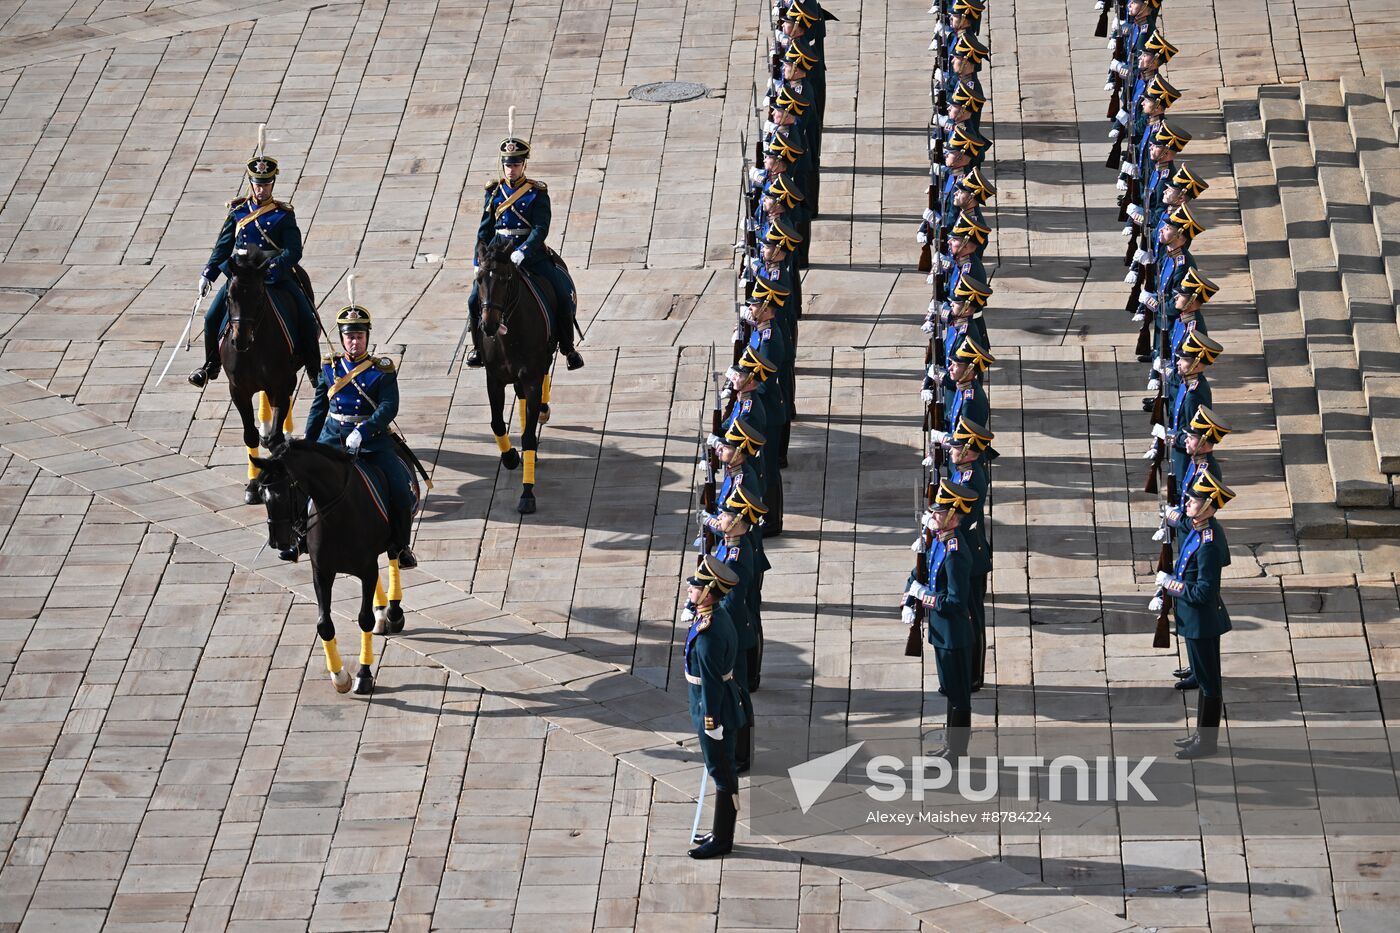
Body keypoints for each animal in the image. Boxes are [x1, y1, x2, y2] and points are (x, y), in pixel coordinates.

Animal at [222, 239, 310, 501]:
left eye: (260, 295)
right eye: (229, 296)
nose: (240, 340)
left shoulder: (279, 382)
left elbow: (276, 438)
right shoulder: (237, 390)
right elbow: (249, 434)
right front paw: (253, 485)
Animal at [250, 439, 406, 694]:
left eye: (282, 495)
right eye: (262, 495)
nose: (277, 542)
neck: (338, 514)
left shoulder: (366, 569)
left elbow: (364, 619)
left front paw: (363, 675)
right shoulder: (322, 571)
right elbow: (324, 625)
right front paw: (339, 676)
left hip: (395, 532)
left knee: (396, 557)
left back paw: (392, 612)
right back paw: (382, 610)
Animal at [476, 239, 551, 512]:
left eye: (505, 279)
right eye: (479, 279)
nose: (488, 325)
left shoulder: (532, 379)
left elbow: (528, 436)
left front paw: (527, 492)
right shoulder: (494, 379)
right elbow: (497, 422)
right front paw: (509, 457)